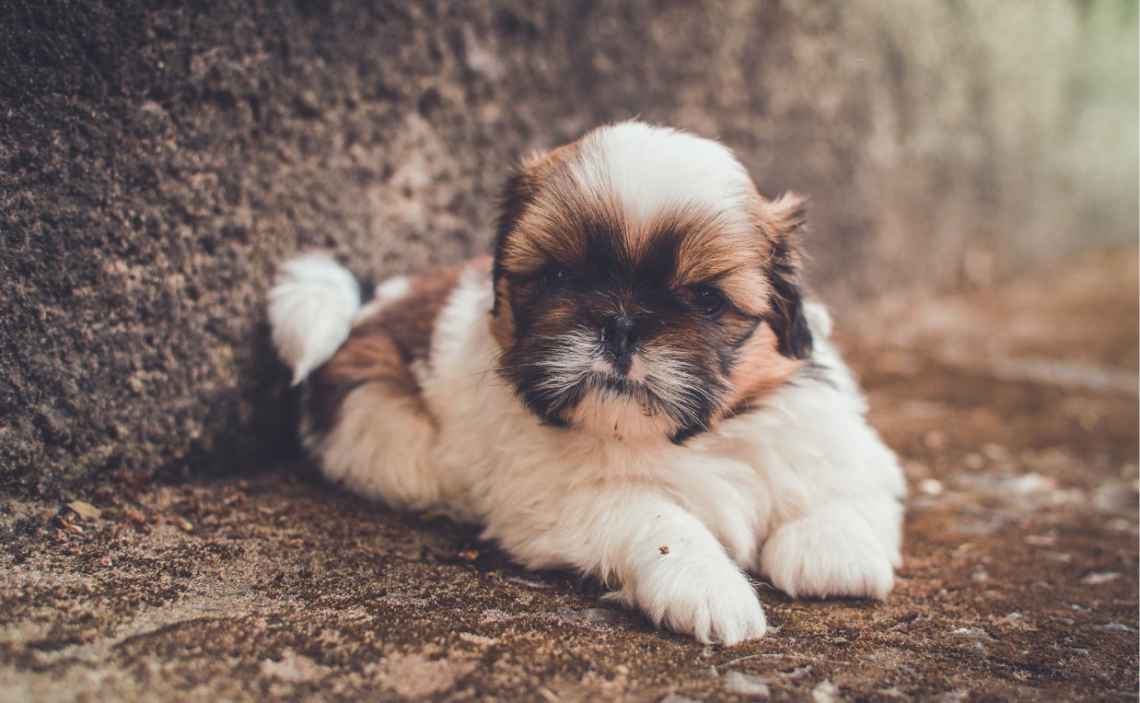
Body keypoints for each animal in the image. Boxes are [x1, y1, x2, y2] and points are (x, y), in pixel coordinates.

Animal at [269, 119, 907, 642]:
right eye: (557, 277)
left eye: (705, 298)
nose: (621, 324)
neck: (689, 441)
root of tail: (370, 307)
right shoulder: (565, 499)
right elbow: (658, 519)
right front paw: (707, 585)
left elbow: (838, 479)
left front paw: (832, 547)